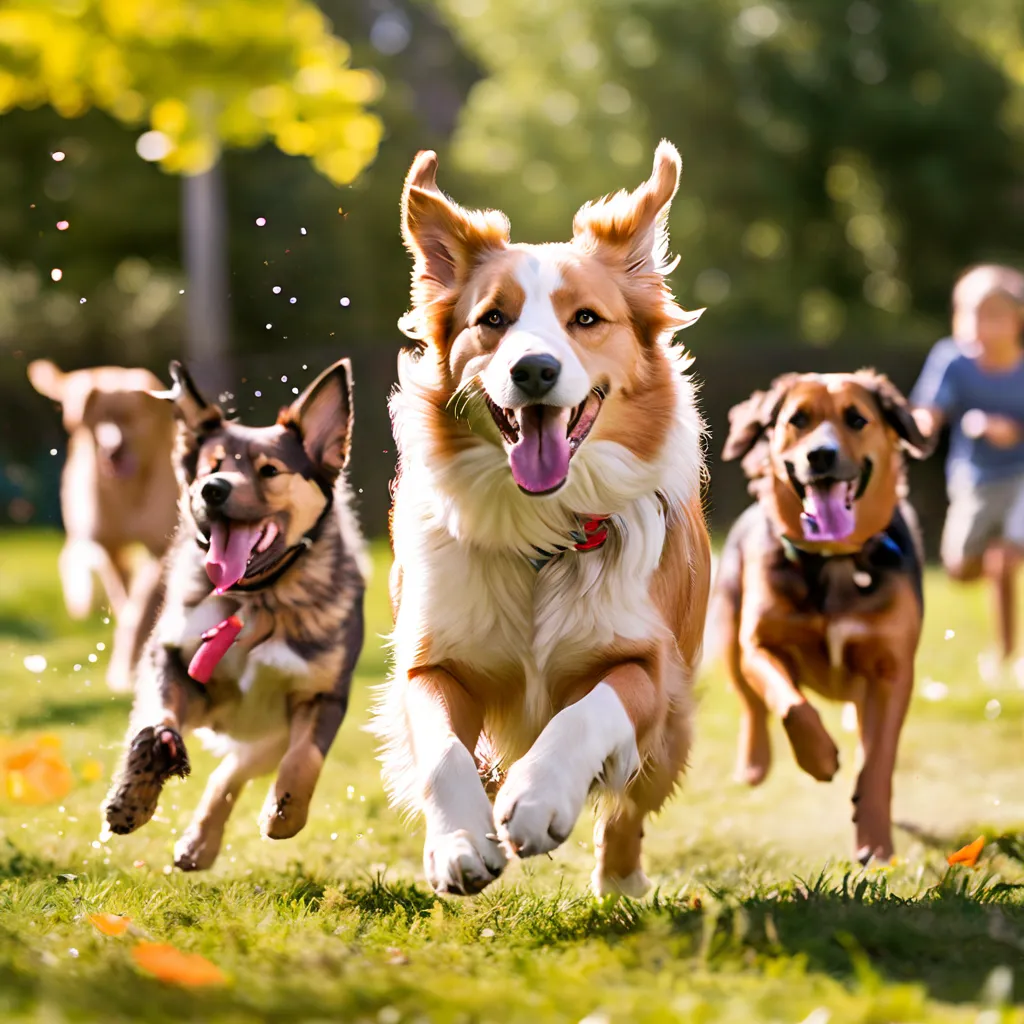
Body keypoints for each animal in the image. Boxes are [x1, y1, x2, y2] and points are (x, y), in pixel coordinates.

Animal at [28, 358, 179, 688]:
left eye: (132, 418)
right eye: (99, 422)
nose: (112, 451)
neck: (128, 491)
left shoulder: (160, 547)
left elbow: (139, 606)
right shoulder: (109, 546)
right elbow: (125, 602)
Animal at [101, 356, 366, 868]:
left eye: (269, 470)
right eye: (211, 467)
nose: (213, 489)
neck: (256, 598)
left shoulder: (322, 696)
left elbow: (305, 758)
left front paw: (285, 811)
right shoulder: (173, 660)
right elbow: (157, 717)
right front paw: (135, 790)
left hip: (266, 737)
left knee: (234, 770)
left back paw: (205, 839)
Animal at [376, 140, 712, 892]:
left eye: (585, 318)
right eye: (492, 320)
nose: (533, 370)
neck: (541, 534)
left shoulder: (649, 664)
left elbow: (588, 712)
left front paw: (537, 798)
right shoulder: (430, 660)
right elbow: (441, 748)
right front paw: (459, 841)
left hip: (673, 734)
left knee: (629, 807)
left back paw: (618, 883)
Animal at [712, 370, 937, 864]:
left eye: (857, 419)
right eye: (798, 419)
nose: (821, 455)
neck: (833, 561)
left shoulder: (892, 671)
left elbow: (878, 761)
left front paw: (875, 841)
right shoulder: (760, 644)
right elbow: (791, 704)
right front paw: (818, 759)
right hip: (729, 636)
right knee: (750, 703)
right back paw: (754, 764)